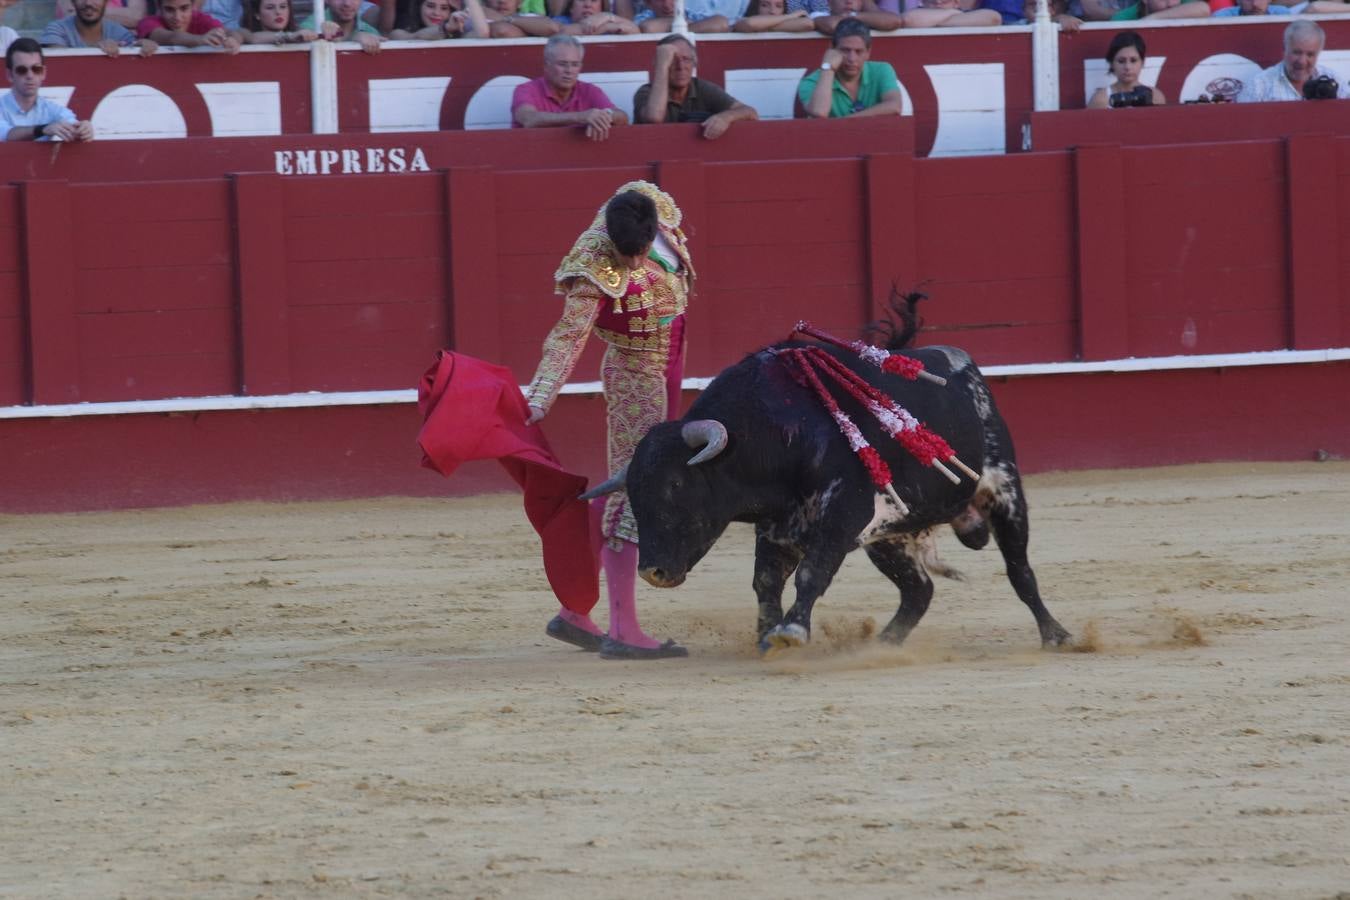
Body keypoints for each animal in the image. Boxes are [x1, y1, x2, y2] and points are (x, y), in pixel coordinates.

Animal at [585, 306, 1069, 650]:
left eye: (675, 485)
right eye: (634, 493)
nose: (653, 571)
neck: (779, 431)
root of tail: (966, 366)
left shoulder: (841, 516)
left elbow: (811, 574)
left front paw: (791, 632)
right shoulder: (778, 531)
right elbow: (766, 582)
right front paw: (766, 636)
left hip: (1004, 491)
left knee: (1020, 570)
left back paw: (1056, 636)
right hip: (891, 534)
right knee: (919, 590)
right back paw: (884, 644)